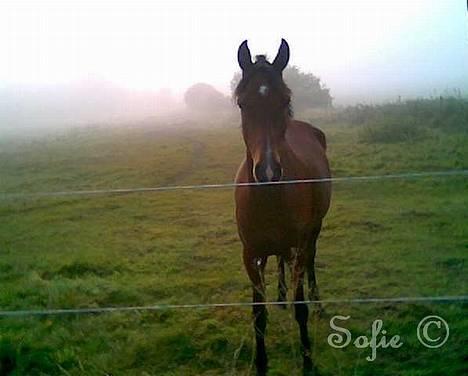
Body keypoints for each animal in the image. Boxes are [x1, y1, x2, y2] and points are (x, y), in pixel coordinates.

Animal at [236, 39, 330, 374]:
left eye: (285, 100)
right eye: (242, 104)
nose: (267, 172)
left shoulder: (300, 245)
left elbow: (300, 308)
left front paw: (308, 361)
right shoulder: (249, 253)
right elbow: (258, 314)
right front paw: (261, 364)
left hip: (314, 231)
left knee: (311, 259)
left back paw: (317, 301)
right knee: (278, 259)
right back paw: (279, 295)